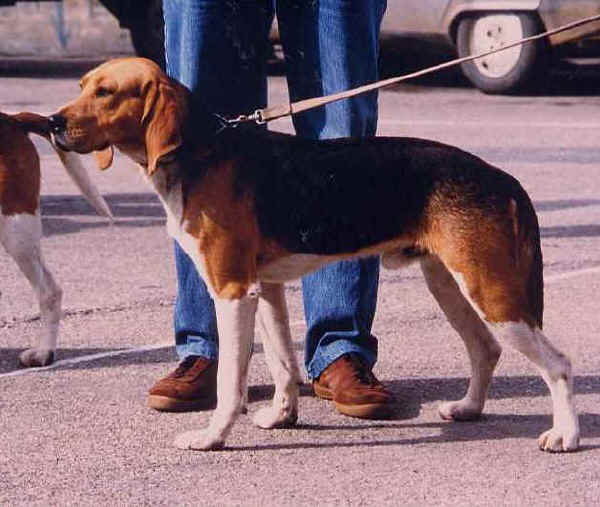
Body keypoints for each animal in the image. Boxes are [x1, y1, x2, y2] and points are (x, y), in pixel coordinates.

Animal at [52, 57, 580, 454]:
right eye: (81, 87)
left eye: (106, 93)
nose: (54, 123)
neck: (199, 151)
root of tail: (500, 177)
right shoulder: (265, 289)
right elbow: (283, 364)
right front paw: (281, 417)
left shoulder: (231, 292)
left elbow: (230, 382)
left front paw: (213, 437)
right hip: (451, 284)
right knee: (485, 348)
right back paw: (469, 409)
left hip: (491, 291)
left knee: (557, 364)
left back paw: (566, 435)